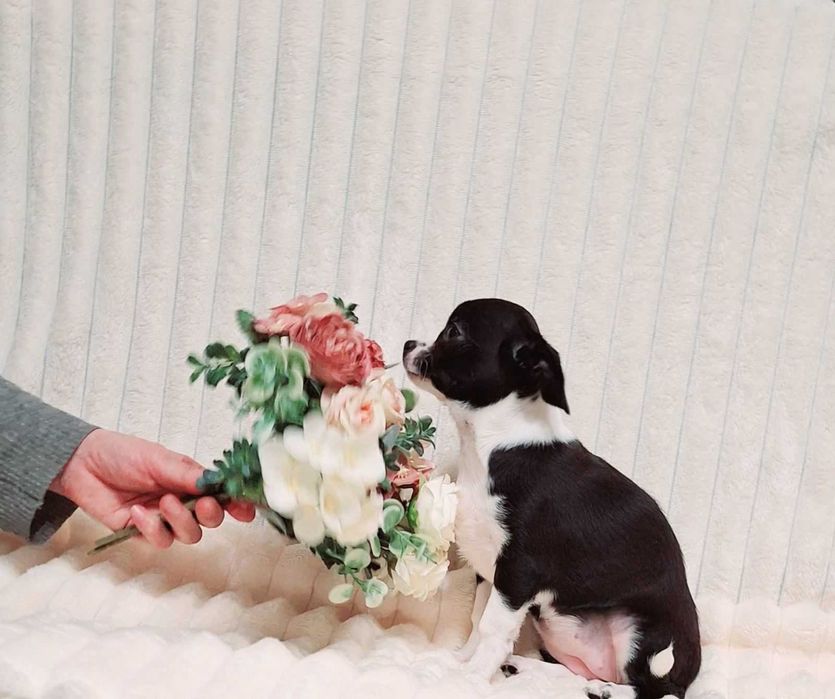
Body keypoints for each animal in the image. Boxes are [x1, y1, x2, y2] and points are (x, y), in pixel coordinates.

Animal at [403, 299, 700, 699]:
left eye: (454, 332)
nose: (408, 344)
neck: (488, 445)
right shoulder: (489, 569)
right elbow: (478, 619)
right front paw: (462, 660)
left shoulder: (517, 573)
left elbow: (492, 628)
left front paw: (471, 678)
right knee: (573, 671)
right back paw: (526, 667)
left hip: (642, 634)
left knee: (657, 689)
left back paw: (607, 690)